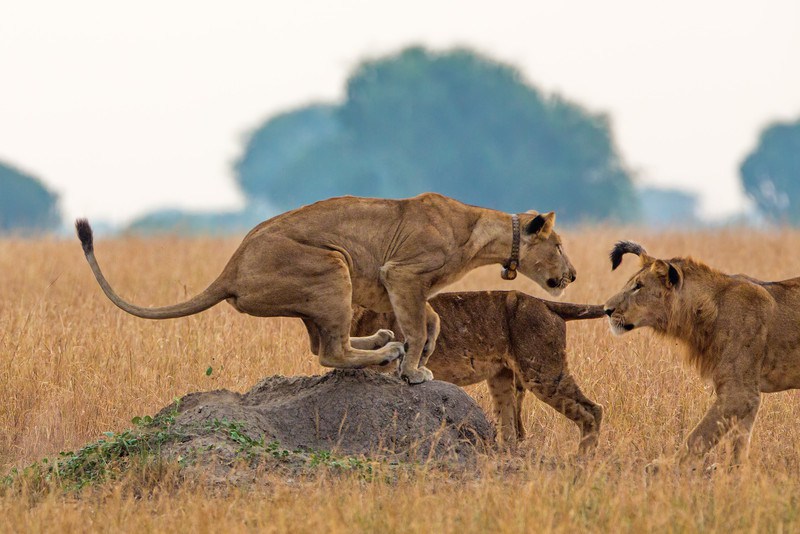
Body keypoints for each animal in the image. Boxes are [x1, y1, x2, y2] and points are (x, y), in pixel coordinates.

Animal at [76, 194, 576, 386]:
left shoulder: (390, 285)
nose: (571, 276)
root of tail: (231, 268)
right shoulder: (401, 273)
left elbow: (429, 319)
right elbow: (417, 325)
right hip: (332, 265)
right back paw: (386, 351)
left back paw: (381, 342)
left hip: (329, 287)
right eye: (559, 245)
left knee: (321, 344)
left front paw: (423, 353)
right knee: (329, 353)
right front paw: (415, 369)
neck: (482, 235)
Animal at [354, 294, 604, 452]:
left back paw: (582, 460)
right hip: (502, 378)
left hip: (543, 372)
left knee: (593, 410)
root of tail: (543, 302)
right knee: (510, 427)